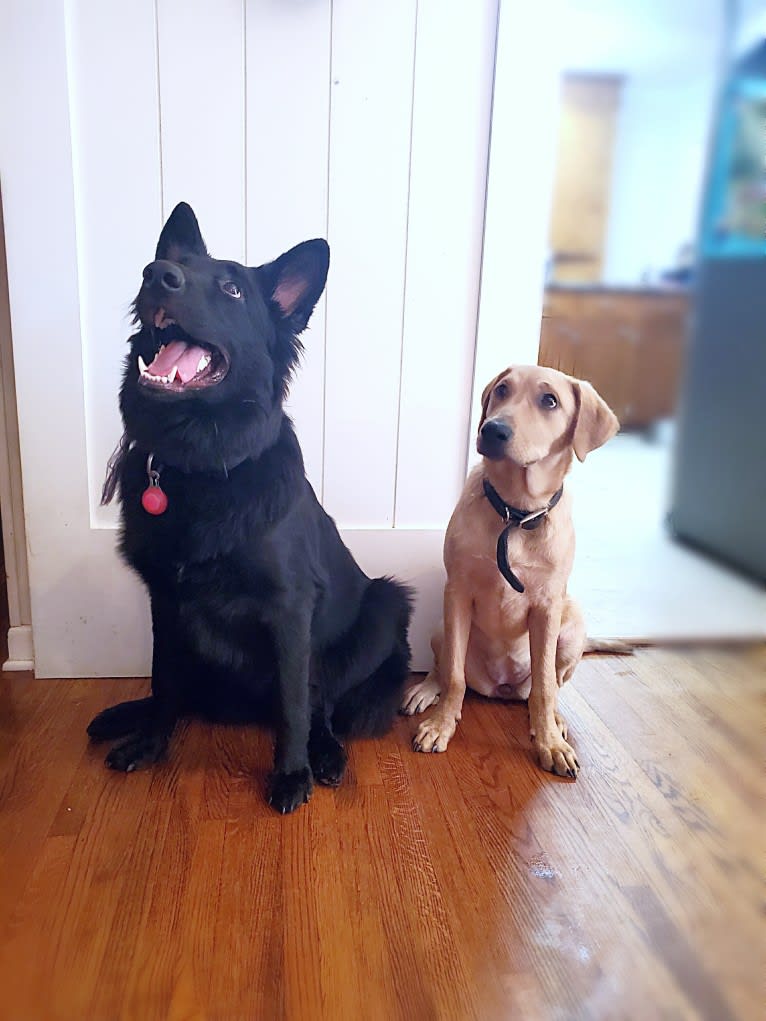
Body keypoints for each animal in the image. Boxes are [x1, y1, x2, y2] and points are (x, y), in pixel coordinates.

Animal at [88, 203, 414, 812]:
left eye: (233, 290)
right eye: (169, 266)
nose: (155, 273)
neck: (199, 466)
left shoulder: (288, 610)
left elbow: (293, 702)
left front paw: (291, 773)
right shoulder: (165, 601)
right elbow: (162, 680)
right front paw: (149, 742)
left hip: (385, 605)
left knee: (321, 701)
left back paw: (326, 754)